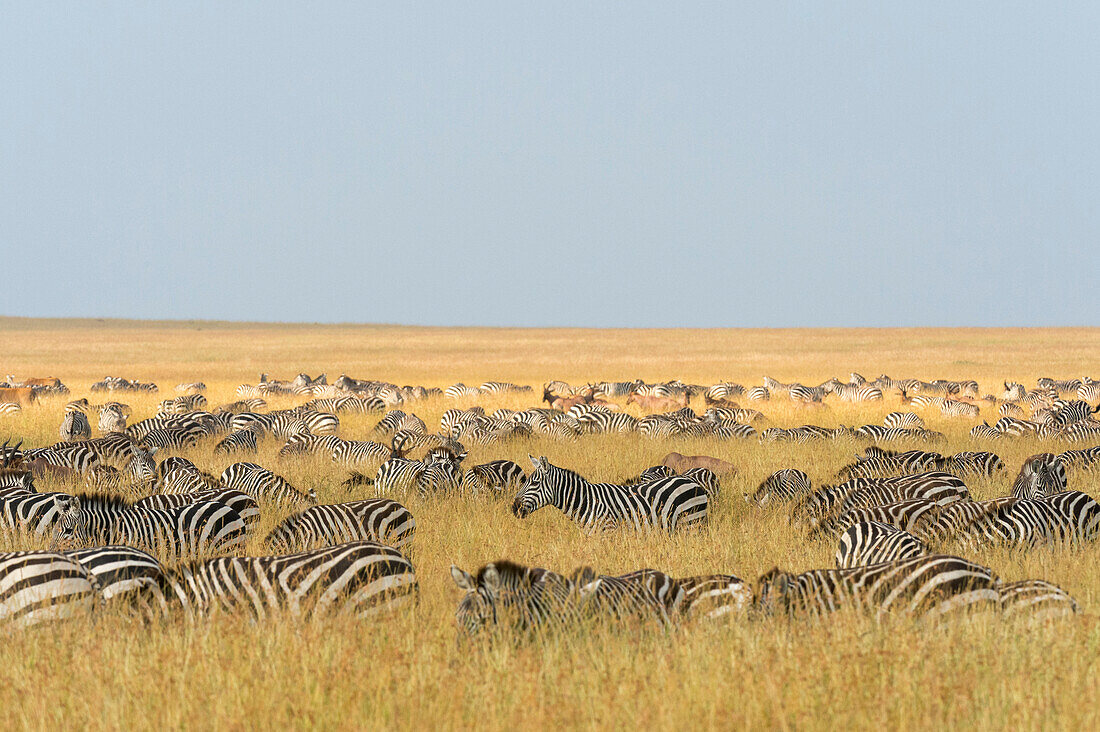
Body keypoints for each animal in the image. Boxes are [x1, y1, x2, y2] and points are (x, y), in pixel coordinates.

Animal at [50, 493, 247, 556]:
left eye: (68, 531)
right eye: (53, 531)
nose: (51, 554)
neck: (118, 529)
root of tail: (228, 508)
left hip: (228, 547)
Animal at [512, 457, 708, 530]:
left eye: (535, 483)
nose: (514, 507)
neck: (587, 502)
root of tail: (691, 481)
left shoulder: (608, 531)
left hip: (692, 523)